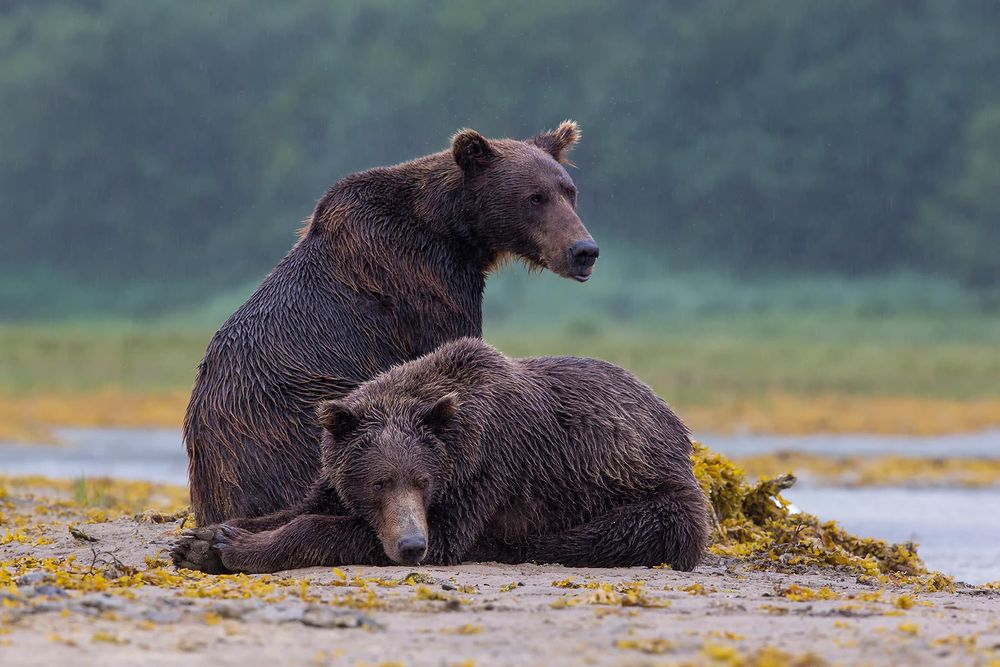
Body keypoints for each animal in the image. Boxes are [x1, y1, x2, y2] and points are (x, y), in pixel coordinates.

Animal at [172, 338, 710, 573]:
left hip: (650, 492)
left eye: (422, 481)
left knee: (616, 532)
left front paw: (235, 548)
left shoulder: (489, 465)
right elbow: (304, 506)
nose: (412, 545)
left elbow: (438, 533)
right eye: (379, 482)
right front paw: (202, 540)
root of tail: (678, 427)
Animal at [184, 122, 598, 526]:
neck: (453, 231)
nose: (584, 250)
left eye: (569, 192)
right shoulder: (424, 284)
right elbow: (446, 357)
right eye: (535, 197)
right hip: (285, 418)